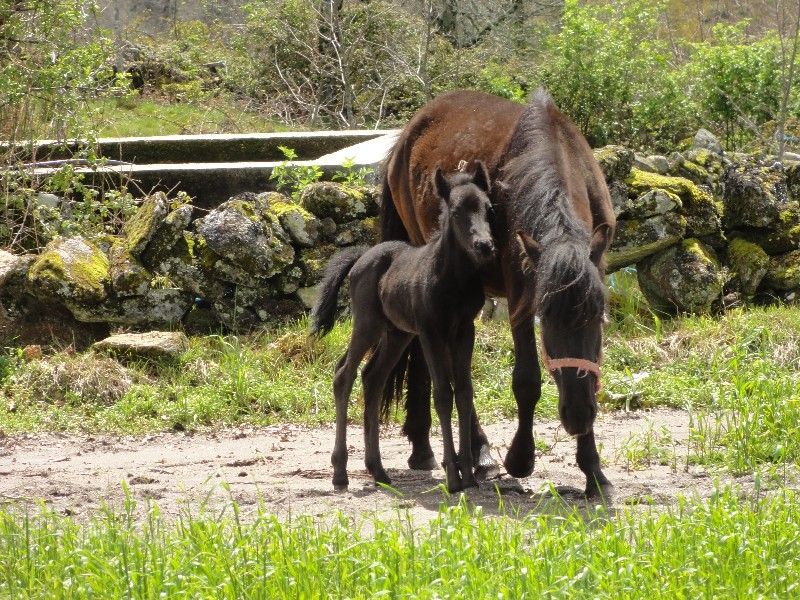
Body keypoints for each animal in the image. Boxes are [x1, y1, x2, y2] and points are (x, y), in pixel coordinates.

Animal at [310, 163, 494, 492]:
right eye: (456, 211)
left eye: (488, 208)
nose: (484, 246)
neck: (452, 280)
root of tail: (362, 256)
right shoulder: (431, 332)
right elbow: (442, 394)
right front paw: (453, 476)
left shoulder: (463, 331)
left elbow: (464, 392)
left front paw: (470, 475)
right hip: (368, 324)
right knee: (344, 374)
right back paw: (340, 472)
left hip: (398, 333)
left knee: (372, 377)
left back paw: (378, 470)